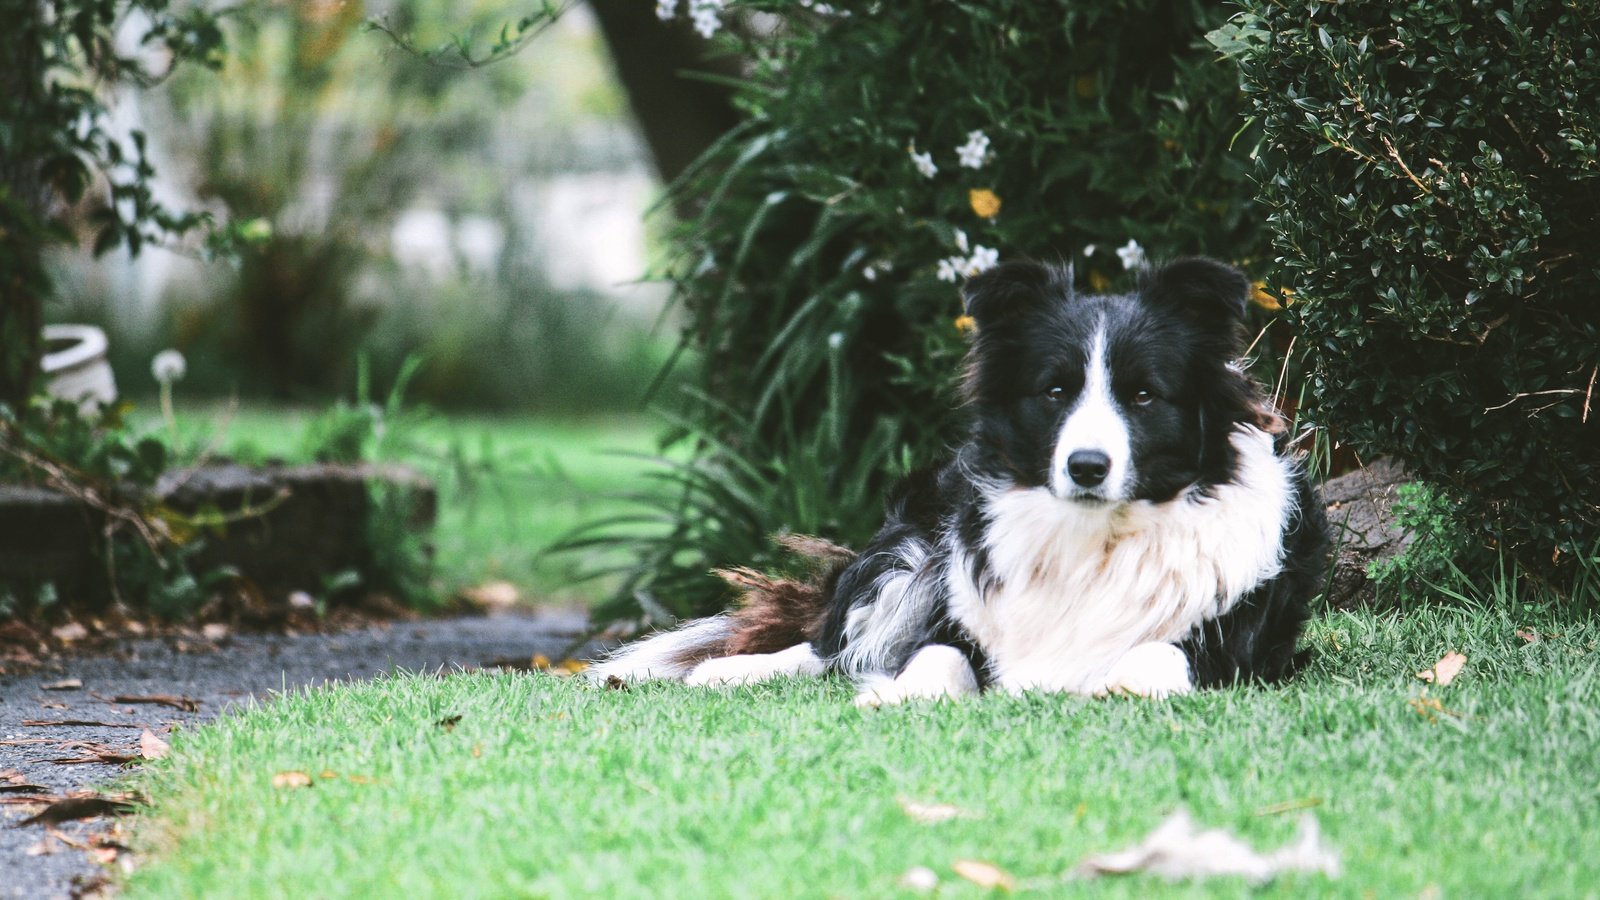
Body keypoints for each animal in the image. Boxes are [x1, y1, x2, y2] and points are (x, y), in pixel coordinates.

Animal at [588, 256, 1324, 704]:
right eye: (1055, 390)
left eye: (1144, 396)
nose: (1087, 467)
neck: (1094, 537)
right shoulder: (958, 608)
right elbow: (935, 652)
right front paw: (901, 694)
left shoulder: (1243, 647)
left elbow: (1162, 655)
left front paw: (1125, 684)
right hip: (913, 549)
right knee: (833, 645)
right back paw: (728, 668)